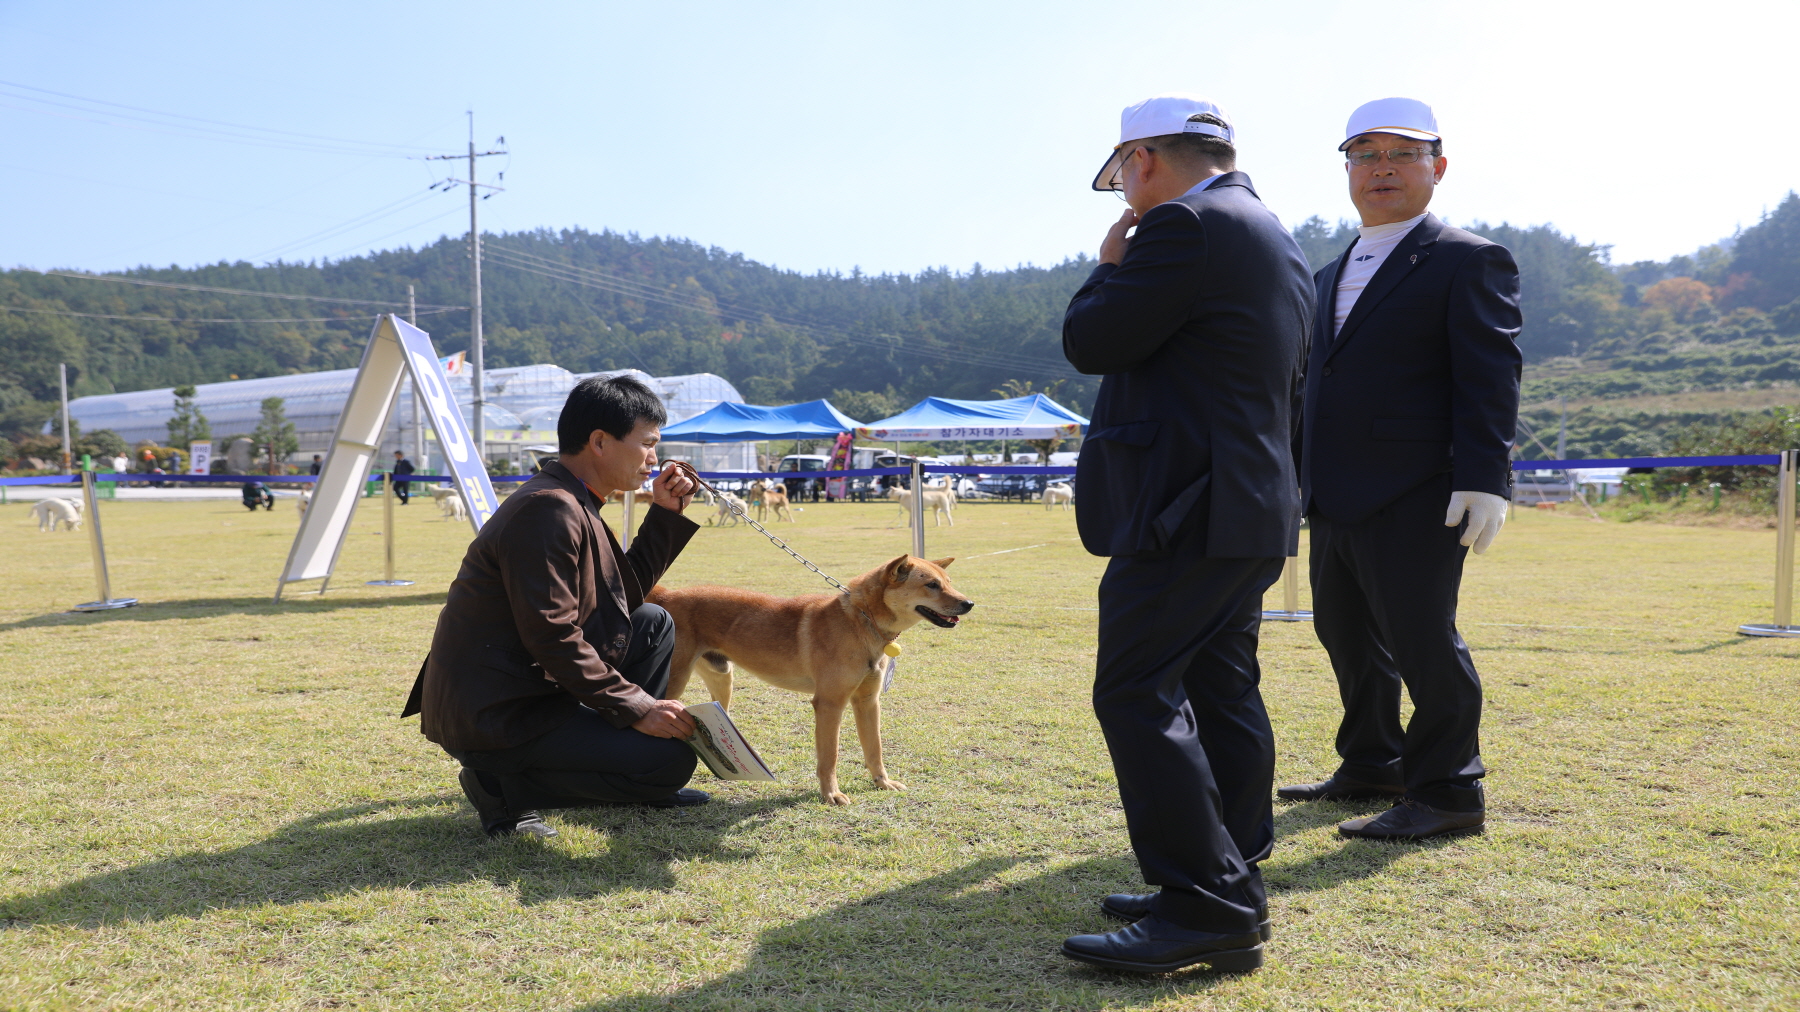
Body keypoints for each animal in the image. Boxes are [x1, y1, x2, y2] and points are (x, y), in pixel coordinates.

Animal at [651, 551, 972, 803]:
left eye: (949, 582)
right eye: (931, 585)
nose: (969, 603)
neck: (861, 621)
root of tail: (668, 594)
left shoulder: (868, 702)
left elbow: (875, 749)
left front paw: (883, 783)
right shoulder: (830, 705)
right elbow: (829, 757)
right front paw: (832, 794)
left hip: (722, 678)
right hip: (676, 683)